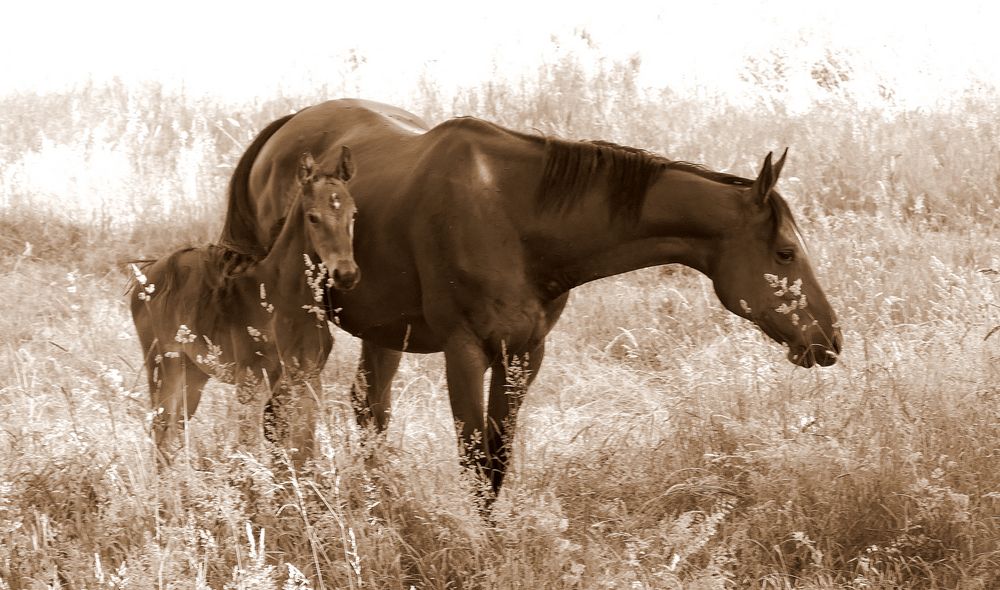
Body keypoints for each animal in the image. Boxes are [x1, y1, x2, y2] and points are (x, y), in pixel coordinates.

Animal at [128, 149, 356, 468]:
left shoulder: (307, 376)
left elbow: (301, 448)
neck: (281, 297)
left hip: (194, 374)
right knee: (162, 431)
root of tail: (146, 273)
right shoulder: (251, 380)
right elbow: (250, 447)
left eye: (353, 214)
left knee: (174, 433)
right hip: (162, 365)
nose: (346, 274)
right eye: (313, 217)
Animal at [221, 99, 844, 502]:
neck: (512, 213)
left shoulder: (524, 352)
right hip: (297, 333)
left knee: (367, 410)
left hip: (383, 334)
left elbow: (498, 458)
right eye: (786, 252)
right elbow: (475, 459)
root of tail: (285, 130)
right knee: (282, 415)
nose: (831, 338)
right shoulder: (465, 351)